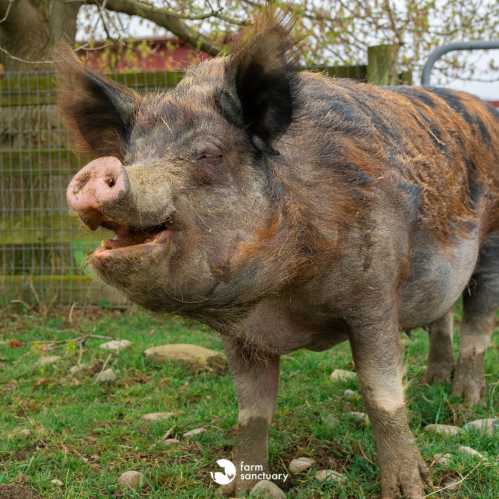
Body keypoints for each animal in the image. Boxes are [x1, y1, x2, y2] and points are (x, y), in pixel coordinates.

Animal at [56, 11, 498, 499]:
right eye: (131, 155)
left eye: (208, 153)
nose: (101, 170)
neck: (282, 298)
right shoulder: (244, 336)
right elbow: (252, 410)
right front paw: (238, 489)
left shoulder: (375, 293)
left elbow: (379, 392)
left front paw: (408, 489)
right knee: (443, 315)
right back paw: (433, 383)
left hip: (492, 243)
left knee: (478, 323)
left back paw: (464, 400)